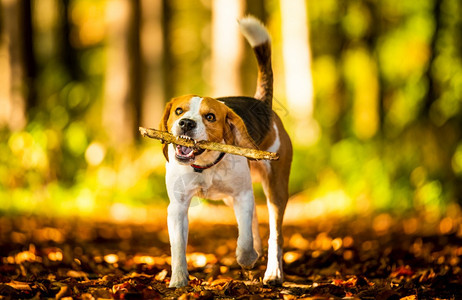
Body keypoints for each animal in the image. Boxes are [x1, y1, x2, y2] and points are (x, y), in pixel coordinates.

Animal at [160, 16, 292, 288]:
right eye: (179, 111)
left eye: (210, 117)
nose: (186, 123)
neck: (205, 165)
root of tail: (261, 103)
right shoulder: (177, 206)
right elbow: (178, 247)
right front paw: (178, 280)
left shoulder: (242, 195)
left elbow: (244, 240)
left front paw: (246, 257)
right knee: (254, 223)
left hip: (276, 189)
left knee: (274, 233)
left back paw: (272, 271)